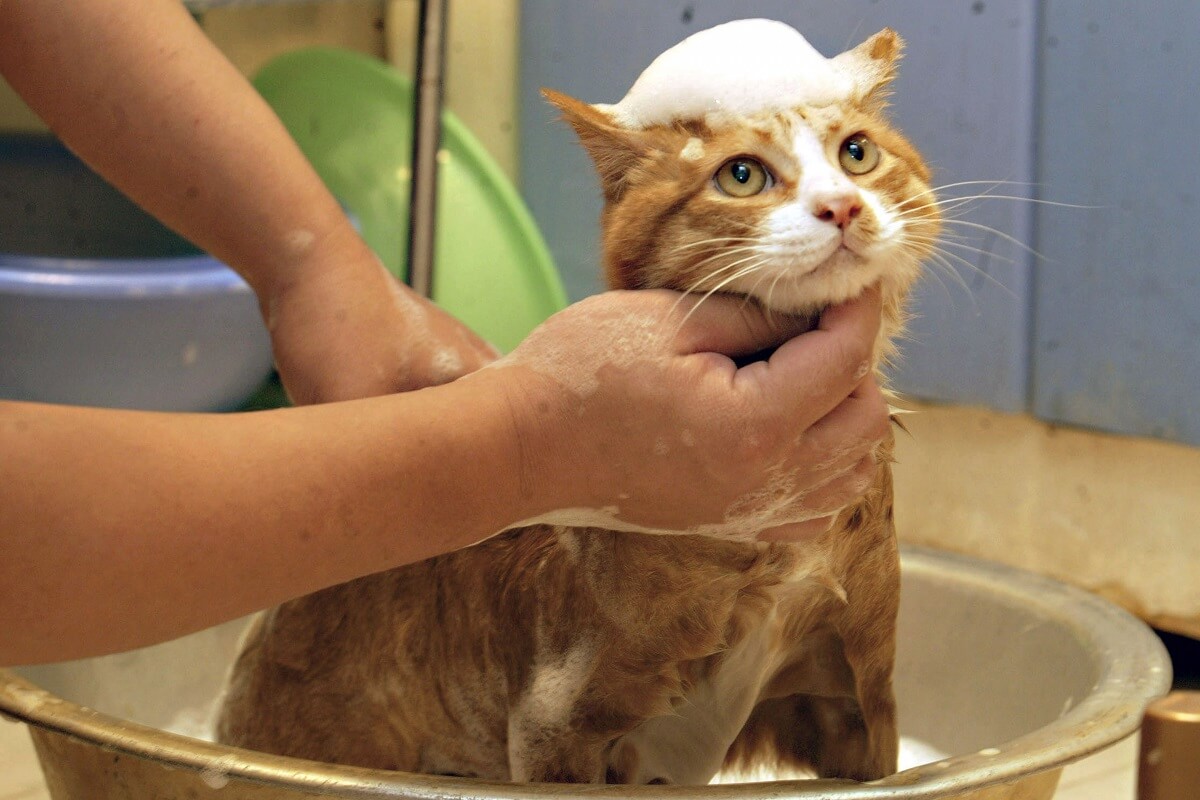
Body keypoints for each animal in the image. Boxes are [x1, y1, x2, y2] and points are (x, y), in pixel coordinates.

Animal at [220, 20, 940, 786]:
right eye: (741, 175)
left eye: (858, 154)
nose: (843, 207)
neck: (777, 548)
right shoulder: (558, 721)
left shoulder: (860, 696)